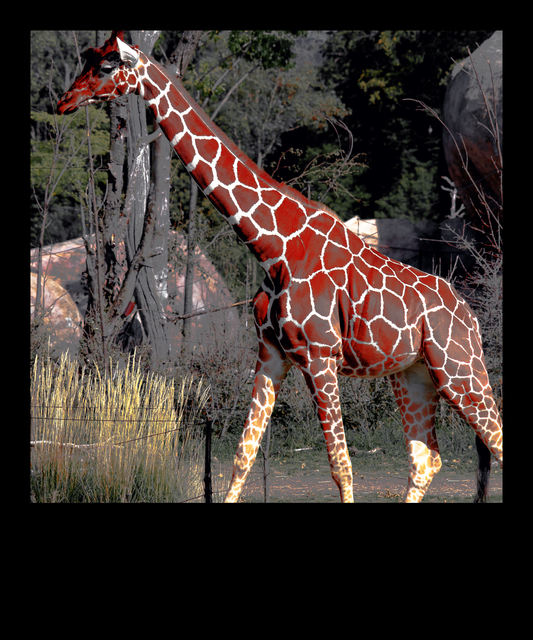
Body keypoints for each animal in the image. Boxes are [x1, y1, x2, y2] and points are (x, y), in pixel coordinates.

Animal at [58, 31, 503, 503]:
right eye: (88, 59)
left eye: (107, 65)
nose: (64, 101)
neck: (273, 248)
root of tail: (471, 316)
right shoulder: (271, 353)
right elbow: (243, 456)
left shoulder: (320, 356)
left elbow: (341, 466)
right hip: (414, 375)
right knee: (425, 460)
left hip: (459, 369)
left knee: (490, 442)